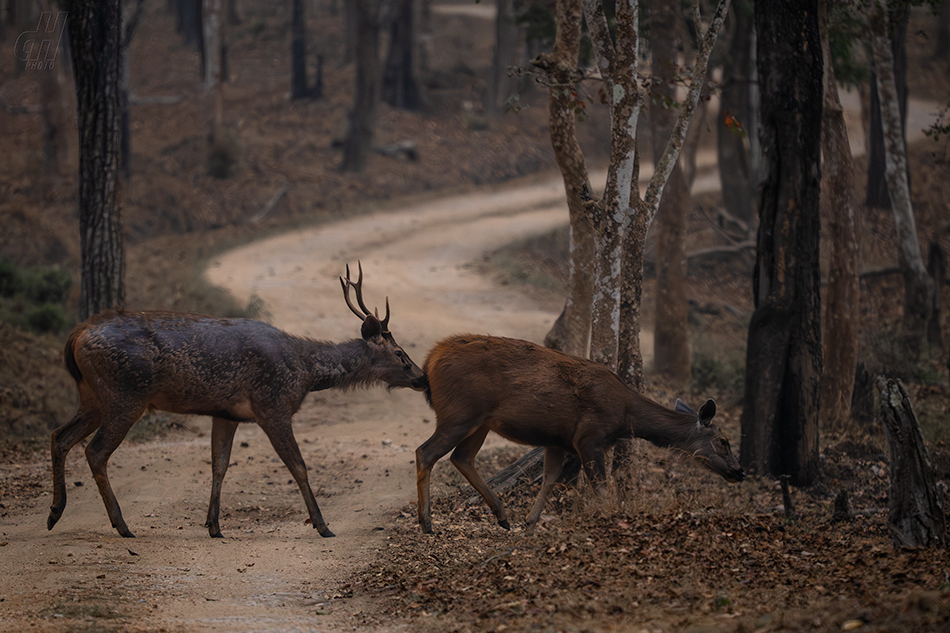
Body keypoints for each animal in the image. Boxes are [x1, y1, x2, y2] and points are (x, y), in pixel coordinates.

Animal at [46, 262, 426, 540]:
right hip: (126, 394)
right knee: (94, 451)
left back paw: (55, 512)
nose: (422, 377)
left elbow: (220, 465)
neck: (305, 370)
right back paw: (121, 525)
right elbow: (299, 466)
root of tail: (75, 336)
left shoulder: (226, 413)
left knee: (59, 435)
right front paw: (322, 525)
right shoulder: (273, 404)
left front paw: (214, 525)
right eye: (399, 352)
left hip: (93, 397)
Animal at [420, 336, 748, 532]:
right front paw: (609, 519)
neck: (626, 414)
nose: (740, 471)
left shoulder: (557, 441)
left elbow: (550, 478)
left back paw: (502, 517)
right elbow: (601, 488)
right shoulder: (589, 437)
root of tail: (431, 360)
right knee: (426, 452)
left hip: (481, 421)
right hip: (460, 413)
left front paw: (530, 522)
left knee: (461, 458)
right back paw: (426, 522)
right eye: (723, 441)